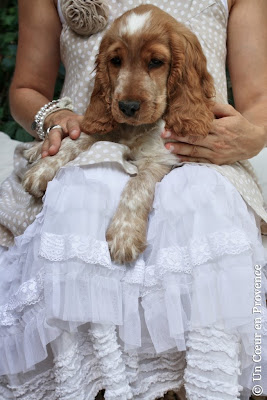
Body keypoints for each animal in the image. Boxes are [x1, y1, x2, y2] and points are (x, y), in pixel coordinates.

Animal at [22, 5, 216, 266]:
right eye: (115, 61)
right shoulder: (105, 126)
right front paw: (43, 169)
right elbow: (75, 140)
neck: (135, 129)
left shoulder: (160, 157)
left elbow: (137, 186)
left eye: (156, 62)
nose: (128, 107)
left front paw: (124, 235)